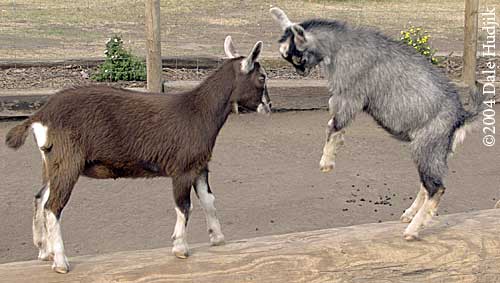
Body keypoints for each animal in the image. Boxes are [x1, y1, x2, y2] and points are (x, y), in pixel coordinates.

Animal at [5, 36, 272, 274]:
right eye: (262, 77)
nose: (268, 107)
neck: (198, 112)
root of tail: (41, 115)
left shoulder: (199, 166)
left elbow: (209, 200)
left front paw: (218, 238)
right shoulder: (182, 168)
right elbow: (184, 206)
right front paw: (180, 247)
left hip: (51, 162)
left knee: (40, 198)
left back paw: (45, 251)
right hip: (68, 161)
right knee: (53, 206)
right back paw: (60, 262)